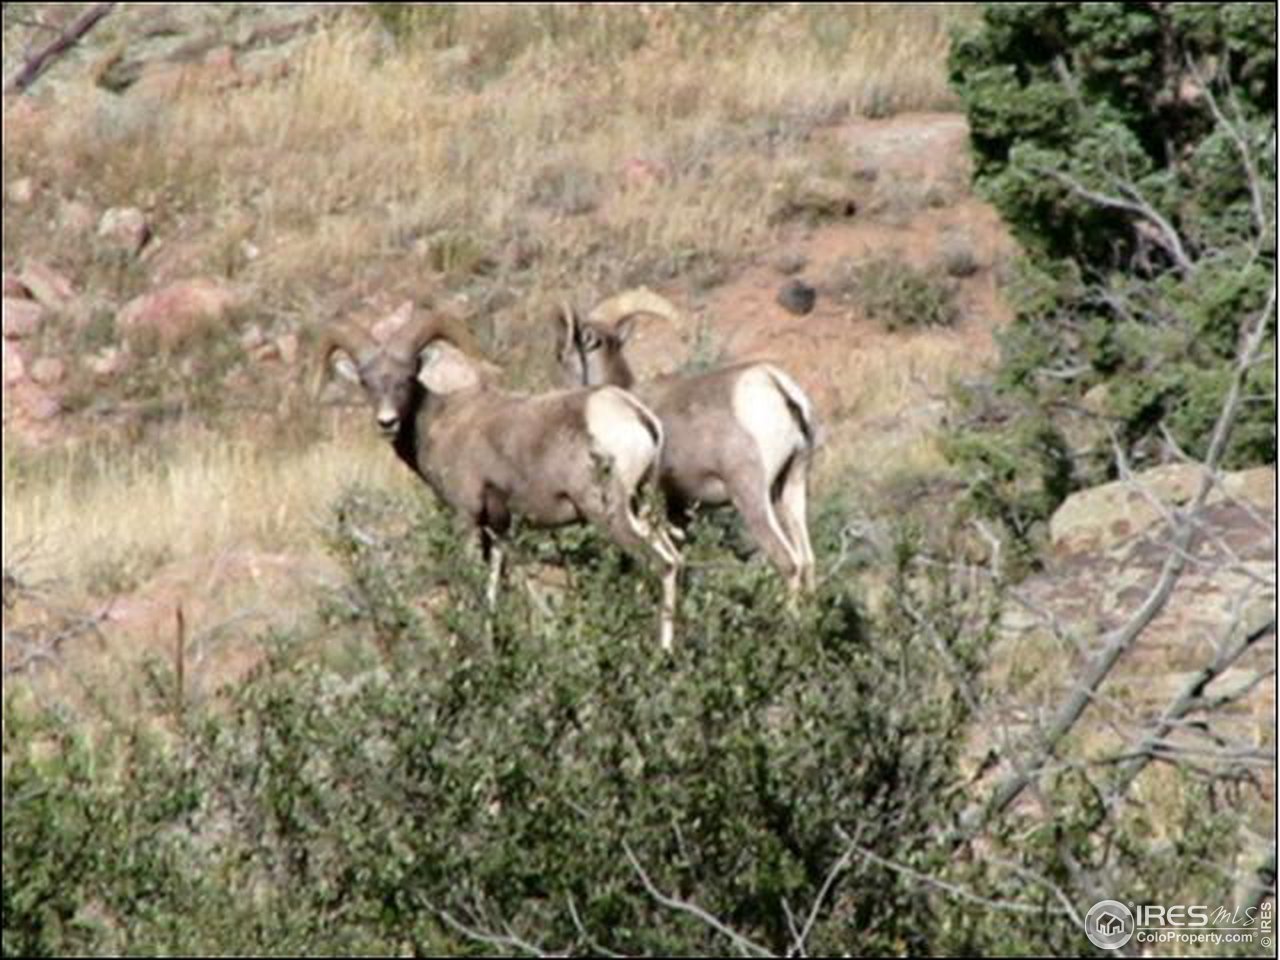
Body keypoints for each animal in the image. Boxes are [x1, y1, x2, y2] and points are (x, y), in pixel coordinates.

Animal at [316, 307, 683, 649]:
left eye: (406, 377)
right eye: (366, 382)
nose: (387, 422)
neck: (439, 423)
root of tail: (636, 415)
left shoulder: (467, 518)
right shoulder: (499, 529)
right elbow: (494, 588)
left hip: (610, 513)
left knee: (660, 563)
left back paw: (662, 651)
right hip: (642, 506)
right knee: (672, 557)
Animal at [555, 300, 817, 594]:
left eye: (561, 354)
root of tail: (777, 386)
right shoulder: (679, 508)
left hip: (752, 496)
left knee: (789, 562)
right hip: (793, 485)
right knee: (808, 560)